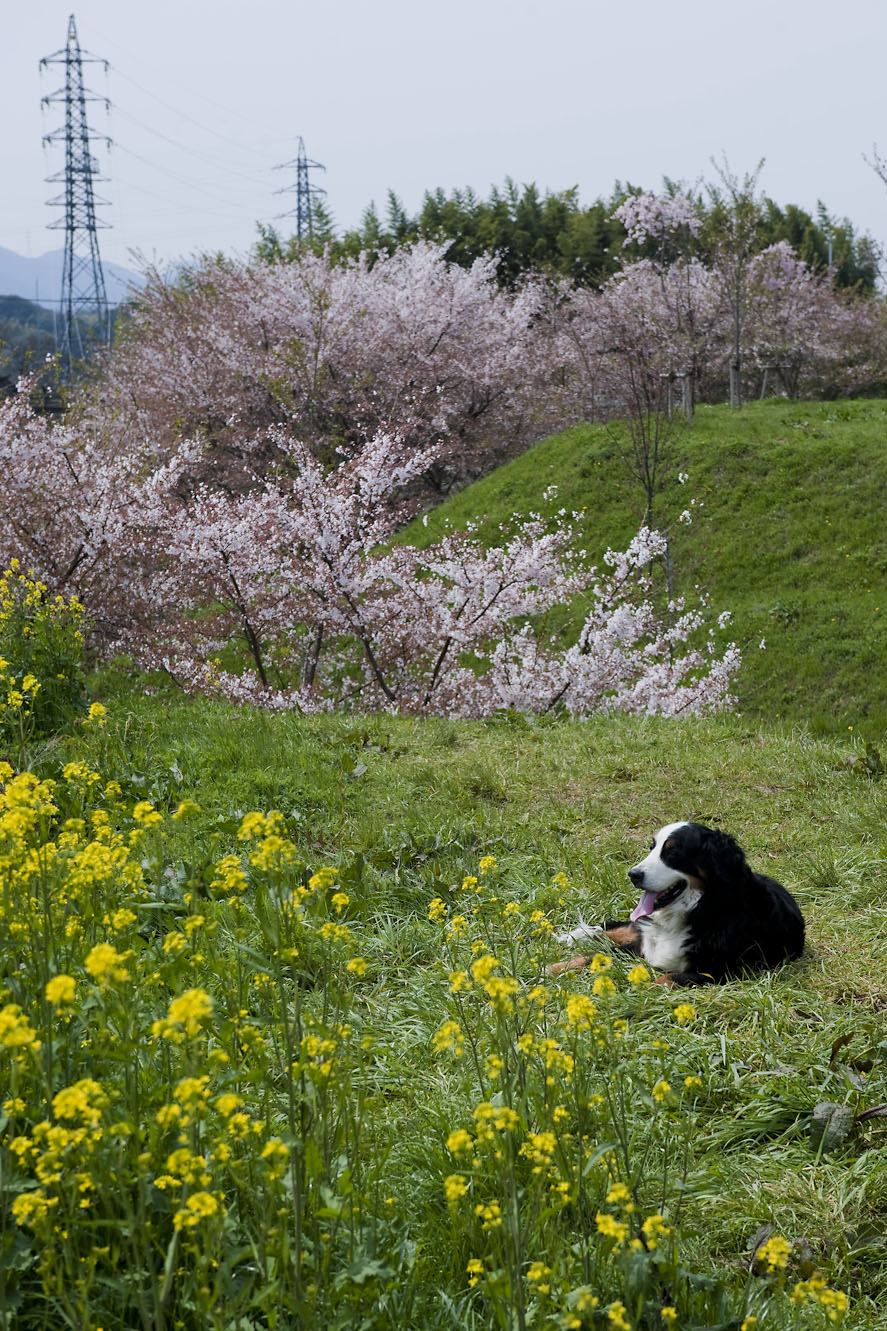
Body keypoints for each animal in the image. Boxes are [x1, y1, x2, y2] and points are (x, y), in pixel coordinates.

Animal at [554, 819, 799, 990]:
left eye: (672, 851)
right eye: (652, 847)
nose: (633, 874)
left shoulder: (717, 970)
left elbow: (664, 978)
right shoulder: (641, 947)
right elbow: (592, 956)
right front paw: (555, 968)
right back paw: (578, 935)